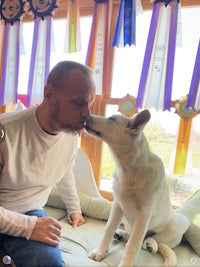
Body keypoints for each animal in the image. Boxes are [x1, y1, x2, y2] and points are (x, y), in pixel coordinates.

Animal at [85, 110, 190, 266]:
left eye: (111, 119)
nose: (86, 116)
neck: (129, 169)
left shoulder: (143, 215)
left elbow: (133, 245)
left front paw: (125, 264)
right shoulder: (118, 205)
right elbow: (108, 228)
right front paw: (100, 251)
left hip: (179, 223)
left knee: (153, 241)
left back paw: (151, 244)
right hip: (127, 220)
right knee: (134, 237)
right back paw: (121, 234)